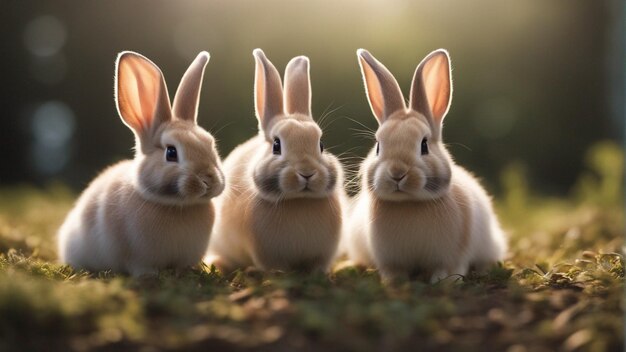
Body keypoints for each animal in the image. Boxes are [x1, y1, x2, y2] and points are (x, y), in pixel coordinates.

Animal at [57, 51, 225, 276]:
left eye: (210, 144)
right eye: (171, 152)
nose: (208, 180)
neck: (178, 206)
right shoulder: (138, 257)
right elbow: (142, 268)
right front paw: (150, 277)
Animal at [204, 48, 342, 272]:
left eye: (321, 145)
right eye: (277, 145)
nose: (307, 172)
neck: (299, 201)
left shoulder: (323, 253)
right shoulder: (264, 252)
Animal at [346, 48, 508, 284]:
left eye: (424, 145)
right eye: (378, 146)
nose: (397, 173)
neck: (409, 204)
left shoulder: (452, 255)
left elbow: (448, 268)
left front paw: (443, 281)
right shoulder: (389, 259)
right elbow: (393, 271)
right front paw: (394, 282)